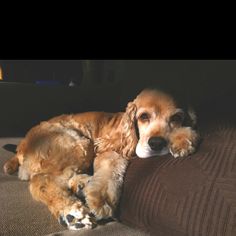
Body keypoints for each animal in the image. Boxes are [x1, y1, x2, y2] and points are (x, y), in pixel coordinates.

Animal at [3, 89, 199, 230]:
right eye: (143, 116)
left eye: (176, 118)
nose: (156, 143)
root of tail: (22, 145)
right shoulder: (107, 150)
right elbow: (110, 170)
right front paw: (101, 200)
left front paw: (182, 140)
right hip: (80, 143)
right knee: (41, 181)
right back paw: (71, 213)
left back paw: (81, 184)